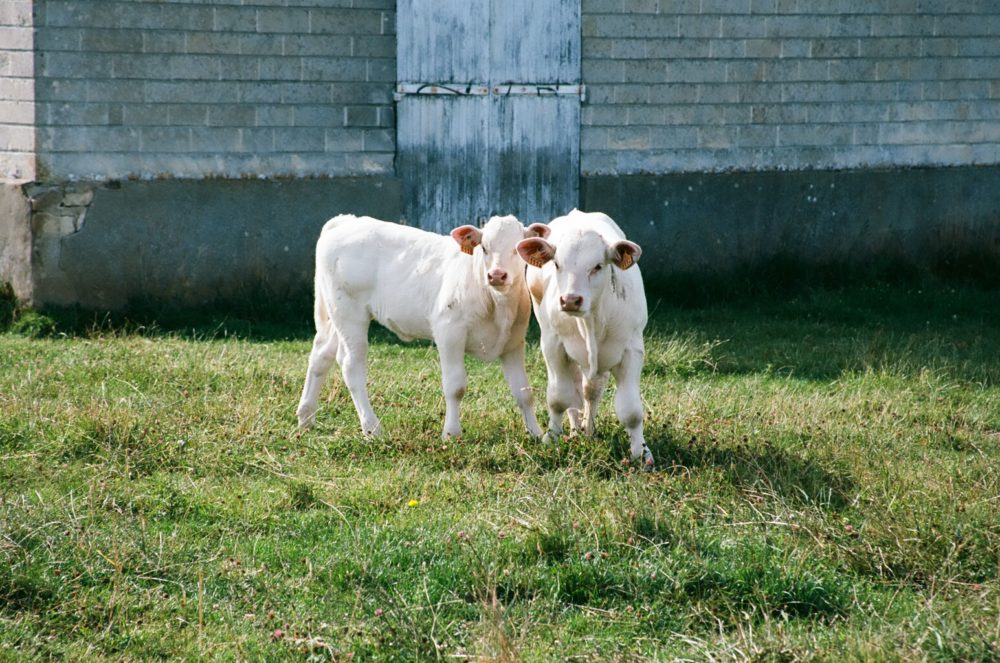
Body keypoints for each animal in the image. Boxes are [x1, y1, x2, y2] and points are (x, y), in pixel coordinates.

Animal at [296, 214, 548, 440]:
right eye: (484, 248)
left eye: (516, 249)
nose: (496, 275)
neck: (495, 302)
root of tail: (346, 221)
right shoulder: (449, 333)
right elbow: (455, 386)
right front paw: (451, 434)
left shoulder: (513, 343)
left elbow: (524, 392)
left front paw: (537, 434)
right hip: (350, 315)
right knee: (351, 365)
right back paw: (372, 429)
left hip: (334, 316)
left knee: (321, 354)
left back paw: (306, 418)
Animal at [516, 213, 648, 466]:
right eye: (557, 264)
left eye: (598, 266)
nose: (570, 300)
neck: (591, 322)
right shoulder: (553, 345)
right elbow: (559, 397)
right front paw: (551, 438)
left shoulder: (632, 350)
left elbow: (631, 410)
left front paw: (641, 453)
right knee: (576, 393)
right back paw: (577, 430)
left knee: (590, 392)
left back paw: (588, 429)